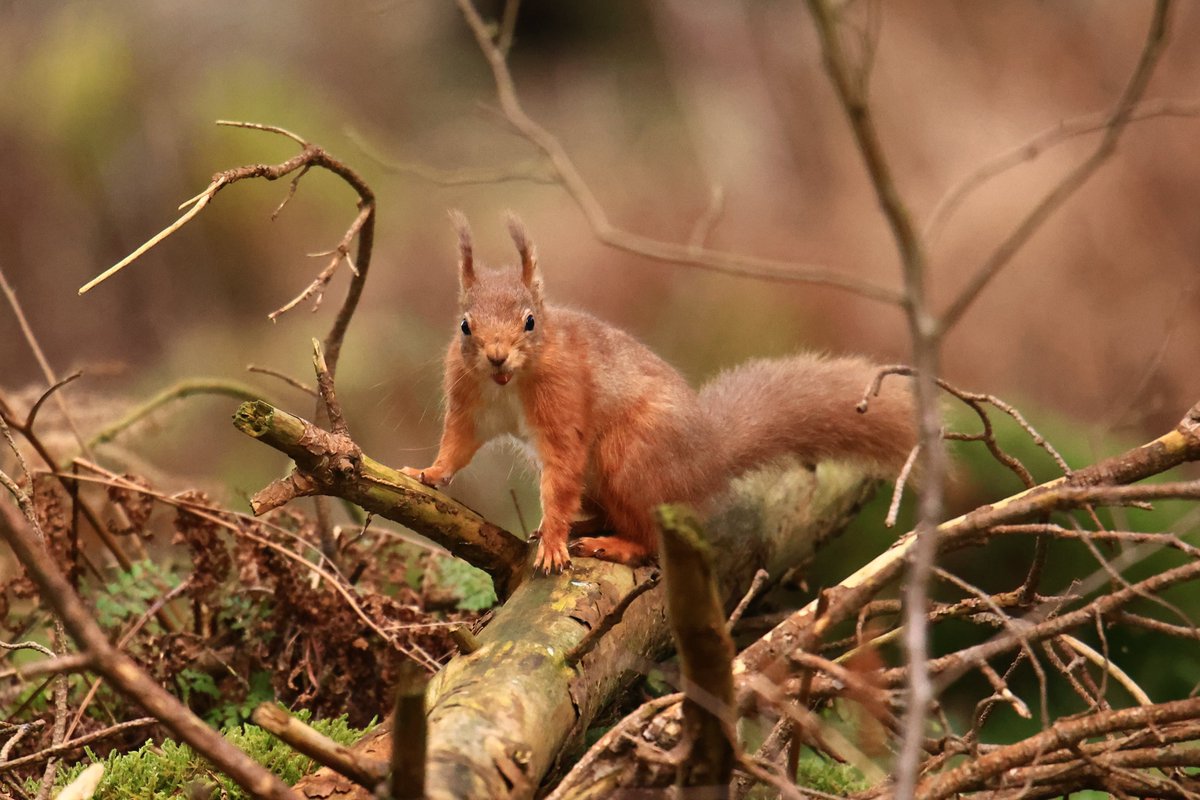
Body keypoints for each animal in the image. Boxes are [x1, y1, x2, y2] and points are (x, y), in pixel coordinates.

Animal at [402, 212, 917, 574]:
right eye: (465, 325)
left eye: (530, 321)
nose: (496, 357)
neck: (508, 385)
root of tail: (705, 463)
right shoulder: (470, 404)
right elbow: (458, 444)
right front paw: (428, 472)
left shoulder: (563, 402)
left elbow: (562, 470)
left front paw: (552, 544)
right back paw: (584, 525)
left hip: (629, 459)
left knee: (648, 538)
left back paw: (608, 542)